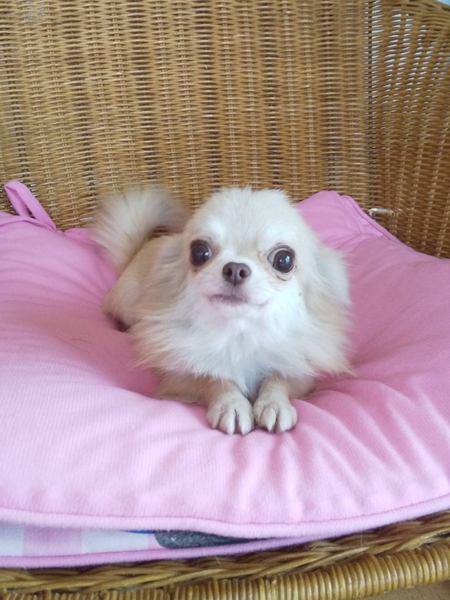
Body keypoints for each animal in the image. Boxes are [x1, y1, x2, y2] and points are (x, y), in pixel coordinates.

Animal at [92, 186, 350, 435]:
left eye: (284, 259)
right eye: (199, 252)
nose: (235, 268)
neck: (239, 335)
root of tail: (137, 252)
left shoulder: (301, 374)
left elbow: (277, 377)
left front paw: (274, 404)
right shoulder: (179, 376)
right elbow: (214, 378)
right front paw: (231, 405)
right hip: (128, 298)